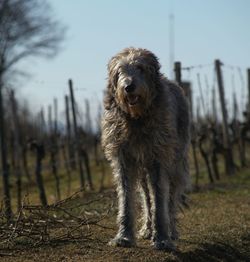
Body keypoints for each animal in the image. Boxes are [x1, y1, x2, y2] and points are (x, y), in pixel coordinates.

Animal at [101, 47, 189, 252]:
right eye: (119, 72)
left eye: (140, 68)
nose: (129, 87)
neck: (137, 118)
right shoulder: (123, 159)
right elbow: (126, 198)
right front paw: (124, 236)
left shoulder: (158, 158)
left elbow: (161, 199)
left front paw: (163, 238)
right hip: (142, 169)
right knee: (146, 195)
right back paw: (148, 229)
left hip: (176, 160)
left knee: (171, 196)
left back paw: (171, 230)